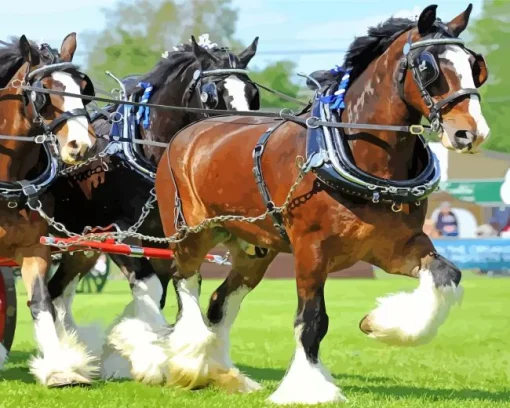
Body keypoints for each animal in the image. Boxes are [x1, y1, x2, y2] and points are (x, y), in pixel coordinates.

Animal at [0, 34, 97, 386]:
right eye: (43, 90)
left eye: (83, 87)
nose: (81, 145)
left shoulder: (34, 249)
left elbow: (41, 301)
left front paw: (58, 368)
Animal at [44, 34, 260, 380]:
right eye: (212, 96)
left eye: (253, 94)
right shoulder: (121, 236)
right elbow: (152, 289)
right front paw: (149, 357)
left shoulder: (171, 239)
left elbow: (181, 288)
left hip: (82, 246)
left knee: (57, 292)